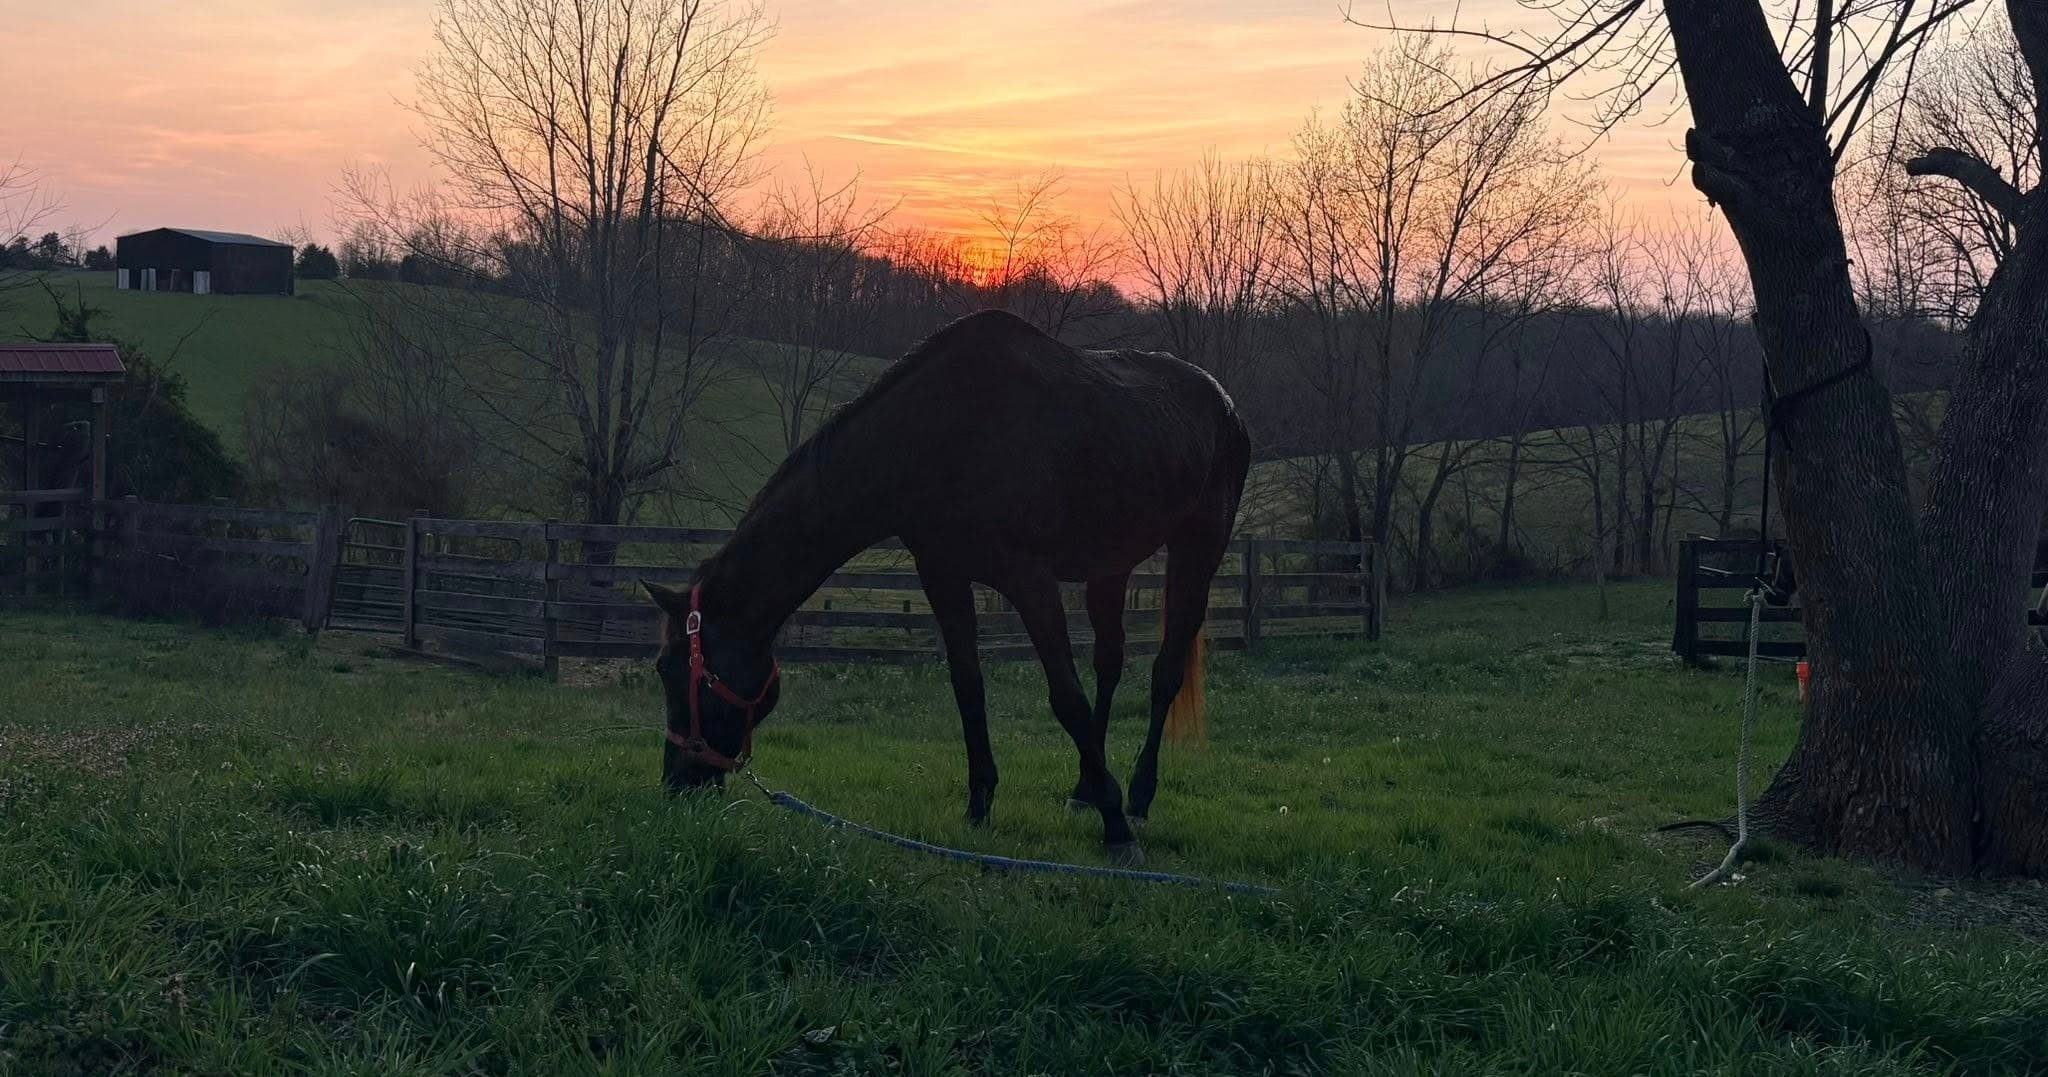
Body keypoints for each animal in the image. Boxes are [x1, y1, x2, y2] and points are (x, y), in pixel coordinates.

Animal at [641, 309, 1251, 863]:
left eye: (673, 670)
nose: (678, 783)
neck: (937, 435)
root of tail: (1224, 403)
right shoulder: (944, 576)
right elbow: (968, 688)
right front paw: (981, 805)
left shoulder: (1029, 579)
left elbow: (1066, 697)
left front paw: (1117, 829)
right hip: (1110, 565)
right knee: (1110, 664)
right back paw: (1085, 791)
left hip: (1199, 546)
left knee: (1164, 672)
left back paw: (1139, 798)